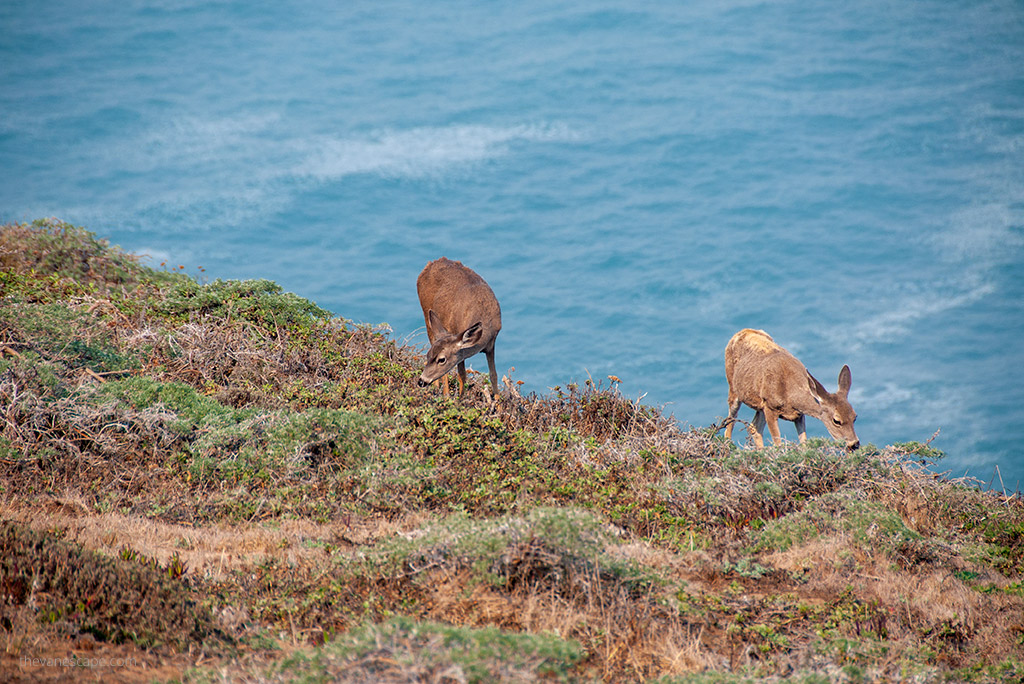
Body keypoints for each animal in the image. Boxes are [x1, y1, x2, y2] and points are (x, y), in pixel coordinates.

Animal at [411, 255, 499, 395]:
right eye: (428, 355)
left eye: (441, 359)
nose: (421, 381)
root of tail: (431, 263)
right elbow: (462, 374)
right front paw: (461, 399)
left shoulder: (492, 343)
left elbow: (493, 375)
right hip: (427, 315)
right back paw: (443, 393)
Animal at [724, 329, 860, 450]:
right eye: (836, 420)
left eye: (855, 416)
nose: (854, 444)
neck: (790, 396)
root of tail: (742, 331)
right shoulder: (770, 407)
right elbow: (778, 444)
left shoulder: (799, 415)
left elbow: (804, 443)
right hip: (733, 390)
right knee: (729, 423)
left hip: (760, 404)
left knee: (754, 427)